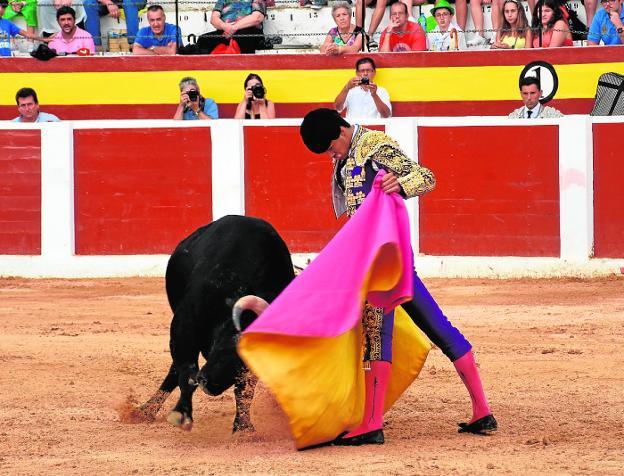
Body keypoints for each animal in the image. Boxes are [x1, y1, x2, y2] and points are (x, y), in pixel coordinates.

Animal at [138, 216, 294, 432]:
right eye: (228, 347)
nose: (207, 383)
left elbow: (245, 390)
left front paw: (243, 428)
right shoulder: (183, 328)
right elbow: (187, 373)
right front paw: (181, 414)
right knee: (176, 370)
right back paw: (145, 411)